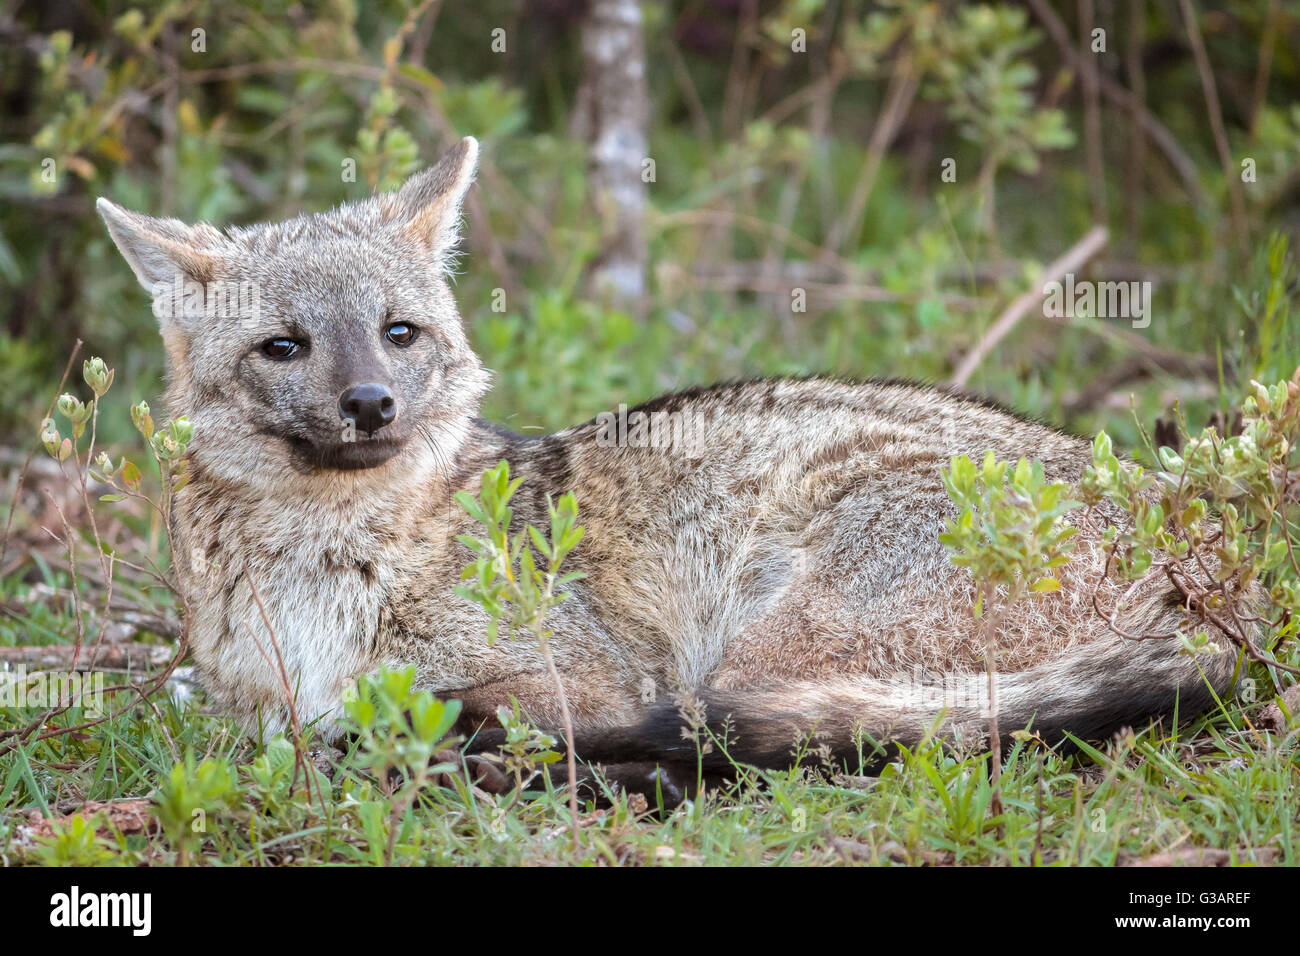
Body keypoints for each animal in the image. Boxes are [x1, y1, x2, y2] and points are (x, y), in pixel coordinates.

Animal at [95, 136, 1246, 786]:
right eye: (284, 345)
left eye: (397, 333)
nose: (372, 405)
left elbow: (459, 710)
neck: (325, 575)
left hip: (750, 654)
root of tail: (1202, 543)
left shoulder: (591, 676)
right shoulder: (251, 700)